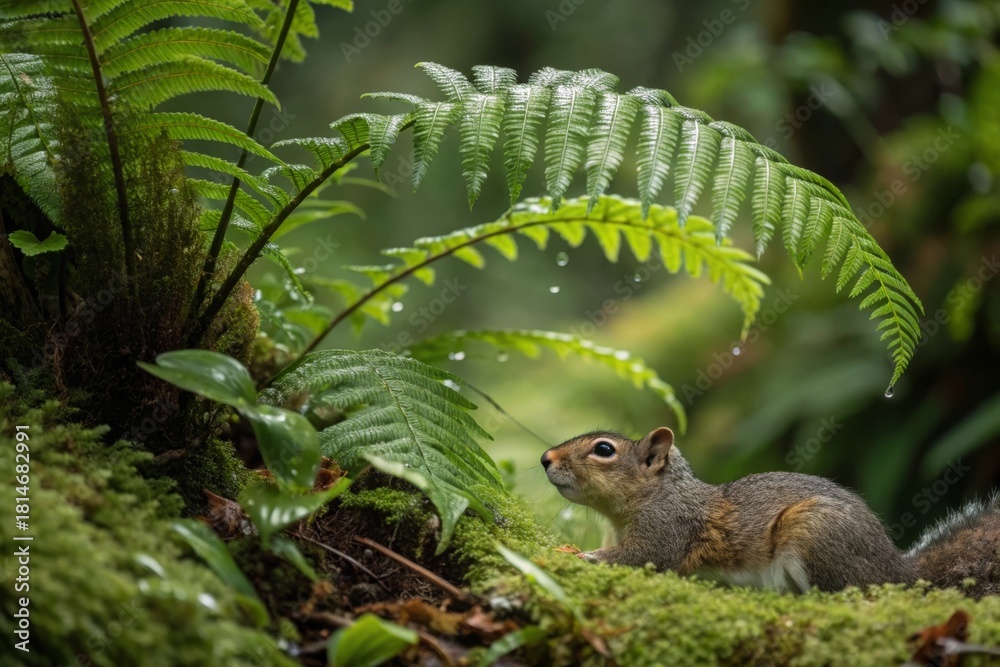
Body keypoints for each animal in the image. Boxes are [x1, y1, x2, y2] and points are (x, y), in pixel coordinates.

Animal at [541, 427, 1000, 596]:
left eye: (604, 450)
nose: (545, 458)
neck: (657, 494)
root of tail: (899, 572)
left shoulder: (669, 528)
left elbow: (641, 557)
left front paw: (577, 553)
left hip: (815, 532)